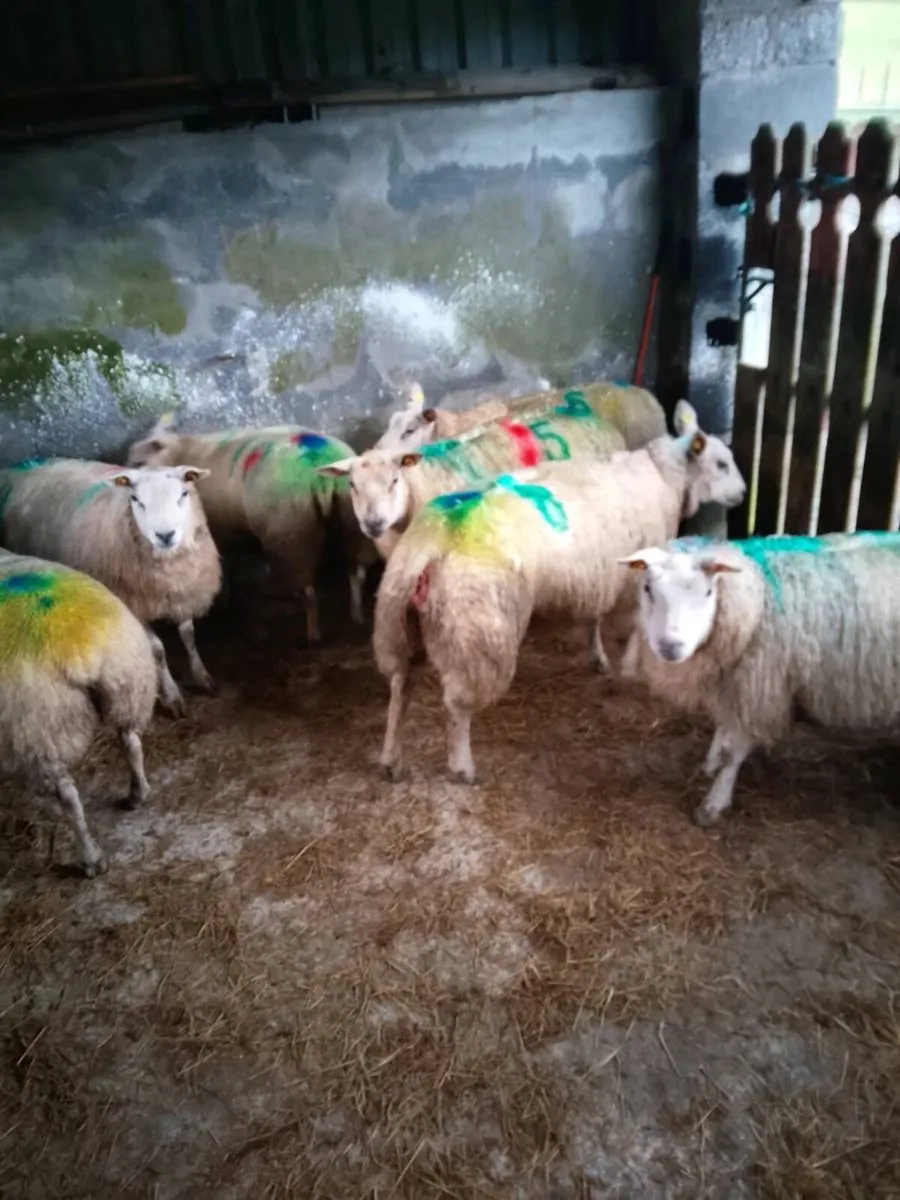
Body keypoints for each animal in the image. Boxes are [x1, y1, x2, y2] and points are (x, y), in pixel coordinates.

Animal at [0, 458, 221, 716]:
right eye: (136, 499)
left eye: (184, 493)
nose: (165, 535)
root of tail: (20, 466)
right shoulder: (133, 604)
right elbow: (158, 651)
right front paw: (173, 695)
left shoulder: (184, 592)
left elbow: (189, 636)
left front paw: (202, 676)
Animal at [0, 549, 157, 877]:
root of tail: (82, 653)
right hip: (128, 687)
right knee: (131, 743)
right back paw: (137, 795)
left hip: (42, 730)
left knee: (69, 799)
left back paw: (91, 860)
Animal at [126, 417, 377, 641]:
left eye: (137, 464)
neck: (177, 452)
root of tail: (319, 461)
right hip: (352, 522)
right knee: (356, 571)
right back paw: (357, 616)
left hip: (290, 535)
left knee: (307, 591)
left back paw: (312, 633)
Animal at [371, 401, 747, 783]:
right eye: (721, 463)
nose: (744, 493)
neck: (665, 479)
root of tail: (431, 545)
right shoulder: (637, 574)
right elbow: (636, 623)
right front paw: (629, 666)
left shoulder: (596, 575)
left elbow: (593, 618)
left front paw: (599, 657)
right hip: (478, 630)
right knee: (458, 703)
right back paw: (462, 766)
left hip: (396, 621)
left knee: (400, 685)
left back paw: (391, 759)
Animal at [618, 531, 900, 827]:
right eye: (647, 589)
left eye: (708, 592)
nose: (671, 647)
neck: (756, 601)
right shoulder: (735, 681)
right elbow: (724, 724)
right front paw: (711, 761)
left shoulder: (761, 690)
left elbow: (735, 753)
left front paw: (715, 802)